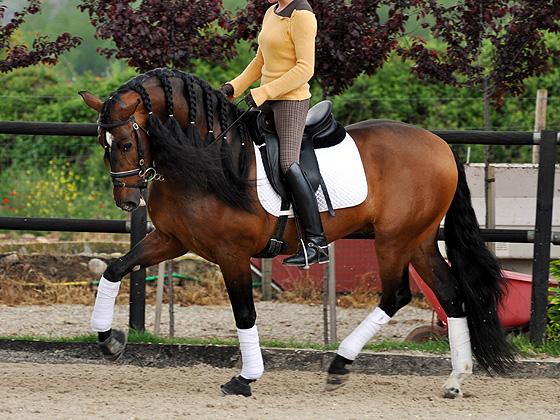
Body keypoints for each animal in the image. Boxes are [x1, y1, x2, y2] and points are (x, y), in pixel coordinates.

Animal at [79, 68, 512, 398]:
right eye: (103, 144)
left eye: (124, 142)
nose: (127, 201)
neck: (206, 159)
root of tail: (439, 143)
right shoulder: (172, 239)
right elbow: (114, 269)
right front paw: (109, 340)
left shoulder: (232, 254)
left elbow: (244, 312)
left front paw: (245, 378)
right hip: (419, 240)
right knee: (451, 294)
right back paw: (456, 379)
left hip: (394, 239)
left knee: (397, 295)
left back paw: (339, 364)